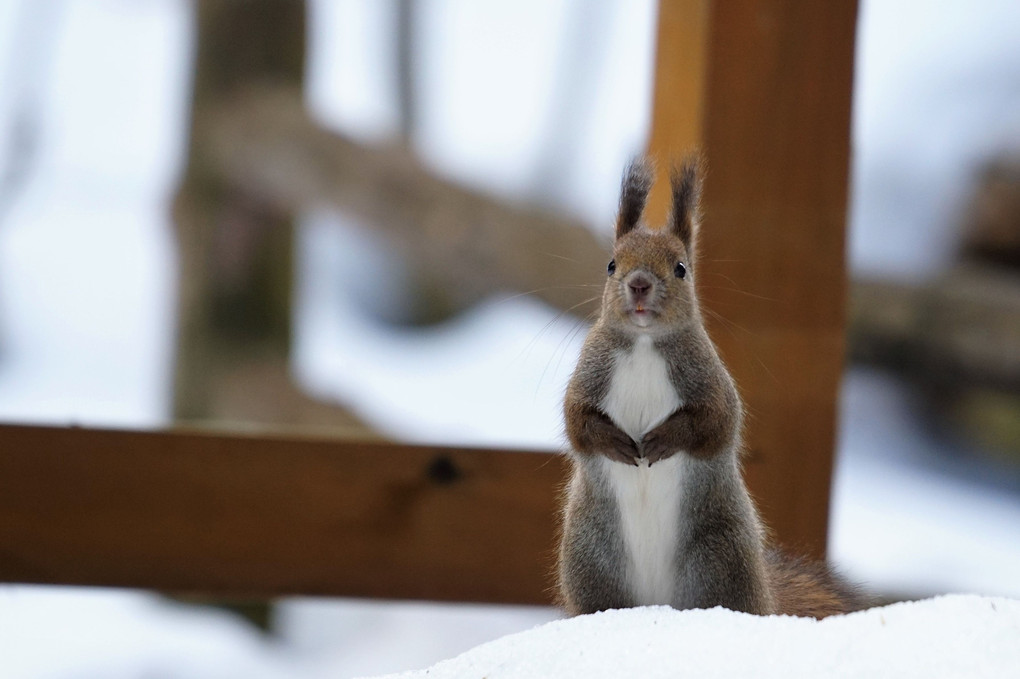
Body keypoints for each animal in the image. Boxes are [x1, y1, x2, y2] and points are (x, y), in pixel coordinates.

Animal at [554, 155, 864, 615]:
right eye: (611, 264)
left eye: (681, 268)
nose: (639, 283)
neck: (644, 344)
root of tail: (656, 604)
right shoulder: (590, 374)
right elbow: (577, 422)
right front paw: (616, 444)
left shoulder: (709, 381)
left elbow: (716, 423)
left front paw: (663, 440)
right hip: (591, 560)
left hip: (719, 559)